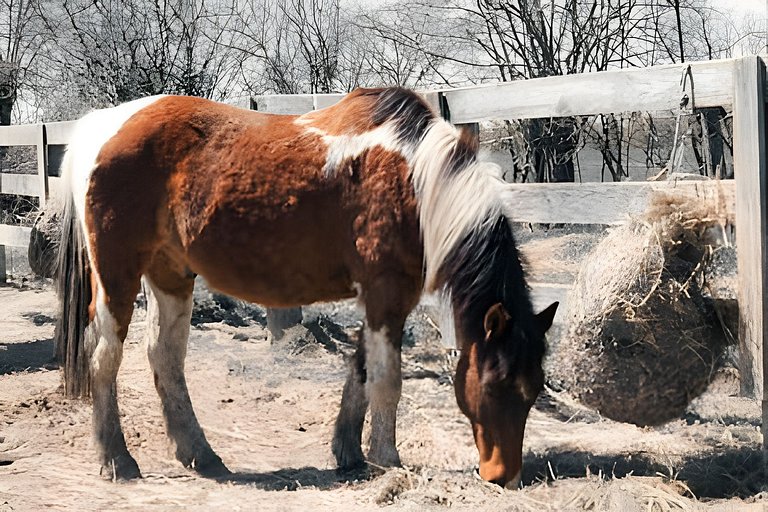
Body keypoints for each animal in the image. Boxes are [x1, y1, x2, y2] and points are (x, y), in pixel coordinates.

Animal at [55, 88, 560, 488]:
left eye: (533, 389)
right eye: (496, 384)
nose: (504, 476)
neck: (415, 178)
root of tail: (102, 126)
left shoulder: (379, 299)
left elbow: (360, 371)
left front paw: (349, 454)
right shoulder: (386, 294)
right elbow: (386, 381)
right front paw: (387, 460)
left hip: (170, 274)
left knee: (164, 358)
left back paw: (201, 455)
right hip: (117, 275)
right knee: (103, 357)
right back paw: (117, 460)